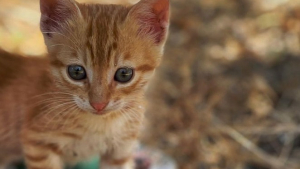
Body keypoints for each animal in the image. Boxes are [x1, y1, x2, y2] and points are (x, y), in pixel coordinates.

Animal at [0, 0, 170, 168]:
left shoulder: (121, 149)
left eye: (124, 74)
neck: (102, 124)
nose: (99, 104)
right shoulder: (37, 143)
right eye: (76, 71)